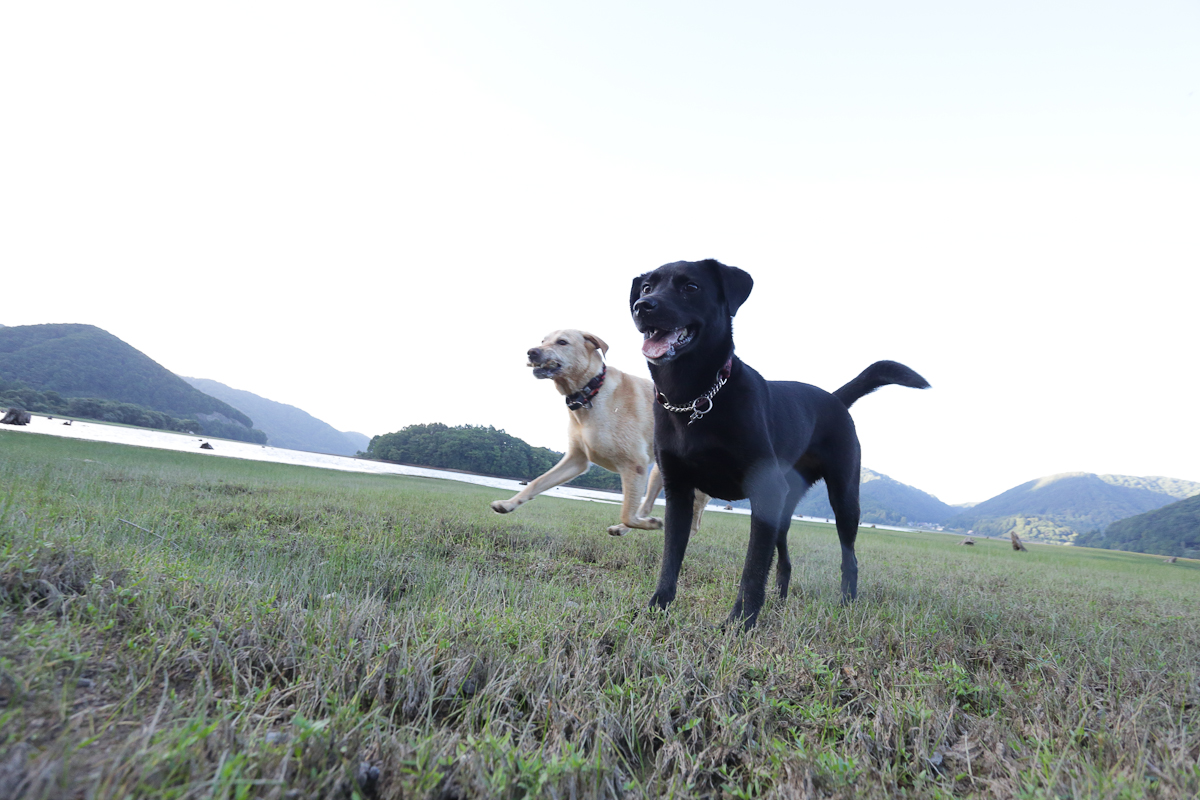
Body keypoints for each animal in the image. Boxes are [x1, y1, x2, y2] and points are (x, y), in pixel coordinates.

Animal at [489, 329, 709, 537]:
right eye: (543, 341)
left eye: (562, 342)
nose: (531, 352)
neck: (591, 393)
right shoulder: (577, 460)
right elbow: (536, 482)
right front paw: (508, 504)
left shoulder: (634, 465)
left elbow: (627, 513)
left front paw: (652, 524)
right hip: (658, 473)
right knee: (646, 507)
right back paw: (625, 528)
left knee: (693, 522)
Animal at [630, 260, 929, 629]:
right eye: (647, 287)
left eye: (691, 287)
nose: (642, 306)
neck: (695, 399)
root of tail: (835, 398)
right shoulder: (678, 490)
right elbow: (671, 557)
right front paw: (657, 607)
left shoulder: (764, 490)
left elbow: (753, 566)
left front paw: (740, 622)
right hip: (785, 508)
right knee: (784, 558)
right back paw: (780, 599)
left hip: (843, 498)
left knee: (849, 557)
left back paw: (846, 602)